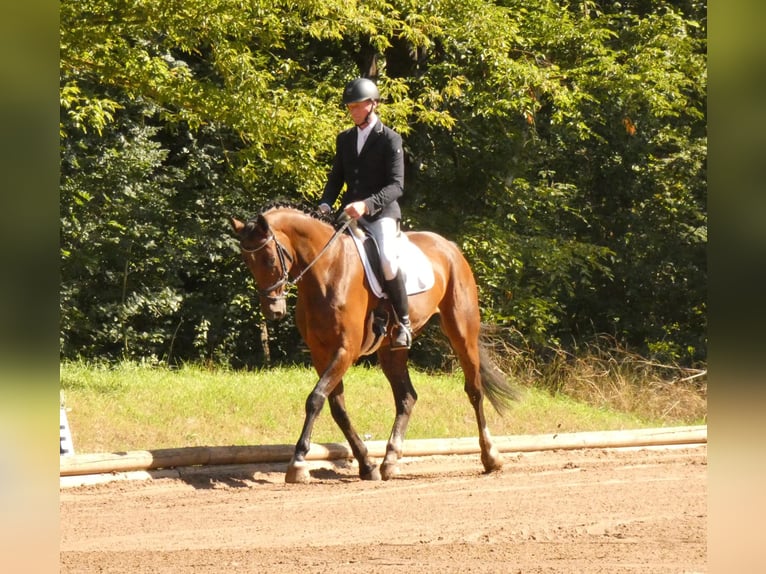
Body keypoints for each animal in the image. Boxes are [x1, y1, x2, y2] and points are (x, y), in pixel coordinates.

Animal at [231, 203, 520, 483]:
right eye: (247, 261)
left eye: (269, 259)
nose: (273, 311)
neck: (327, 269)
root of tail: (449, 246)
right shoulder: (320, 353)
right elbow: (337, 408)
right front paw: (367, 464)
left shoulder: (345, 350)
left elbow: (315, 399)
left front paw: (299, 462)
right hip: (391, 349)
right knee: (407, 397)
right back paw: (390, 460)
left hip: (461, 330)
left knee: (474, 390)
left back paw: (491, 457)